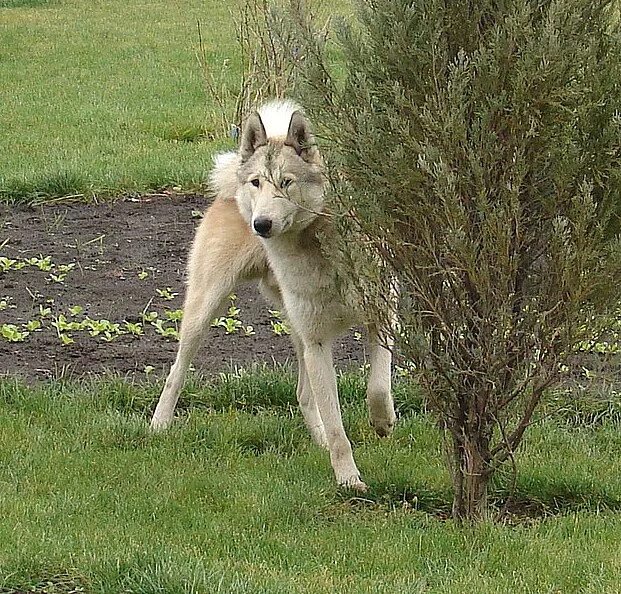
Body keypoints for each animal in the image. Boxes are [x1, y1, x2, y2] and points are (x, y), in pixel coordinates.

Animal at [151, 99, 394, 488]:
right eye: (257, 183)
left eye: (286, 182)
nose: (260, 225)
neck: (315, 244)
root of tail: (228, 188)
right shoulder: (316, 343)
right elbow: (338, 428)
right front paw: (348, 480)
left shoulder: (381, 316)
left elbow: (378, 387)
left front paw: (383, 422)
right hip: (205, 310)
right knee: (177, 371)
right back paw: (158, 425)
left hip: (294, 329)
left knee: (303, 394)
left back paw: (319, 440)